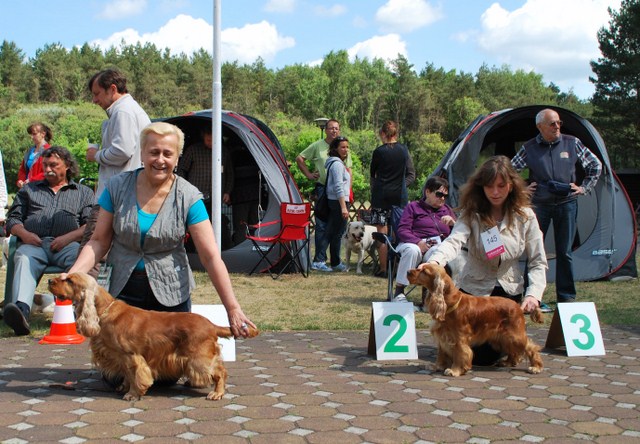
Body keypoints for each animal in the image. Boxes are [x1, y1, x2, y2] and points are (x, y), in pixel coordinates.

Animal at [48, 272, 258, 401]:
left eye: (69, 280)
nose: (50, 281)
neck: (105, 311)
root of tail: (211, 325)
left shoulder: (131, 356)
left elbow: (136, 376)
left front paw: (132, 394)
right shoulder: (120, 357)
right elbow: (127, 375)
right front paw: (123, 387)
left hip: (198, 358)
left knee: (219, 371)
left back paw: (217, 393)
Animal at [407, 263, 543, 377]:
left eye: (424, 271)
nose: (408, 271)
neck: (450, 302)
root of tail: (518, 305)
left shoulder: (459, 338)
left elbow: (461, 353)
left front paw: (455, 370)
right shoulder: (443, 336)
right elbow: (441, 353)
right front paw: (437, 366)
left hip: (514, 335)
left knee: (531, 347)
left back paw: (536, 367)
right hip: (503, 336)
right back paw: (508, 362)